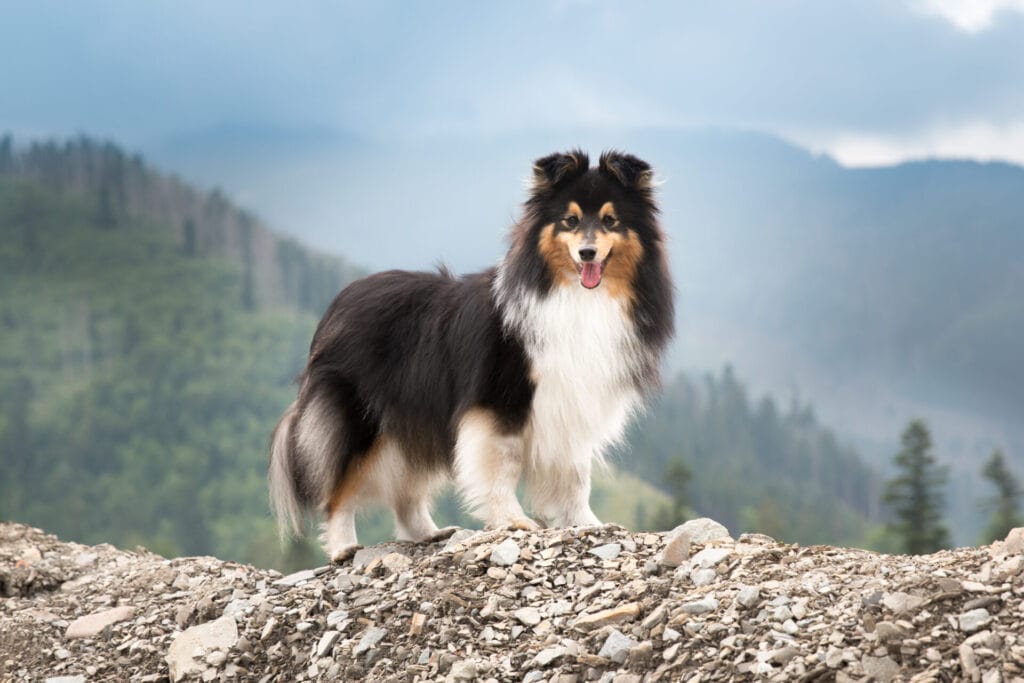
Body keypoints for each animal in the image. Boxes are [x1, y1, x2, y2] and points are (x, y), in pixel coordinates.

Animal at [268, 152, 675, 565]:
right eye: (570, 220)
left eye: (610, 220)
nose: (587, 253)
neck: (575, 297)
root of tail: (339, 303)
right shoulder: (500, 402)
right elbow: (503, 467)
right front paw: (515, 521)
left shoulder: (572, 404)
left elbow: (576, 476)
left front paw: (588, 524)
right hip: (361, 421)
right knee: (338, 488)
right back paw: (343, 546)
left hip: (415, 416)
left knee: (407, 488)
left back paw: (429, 533)